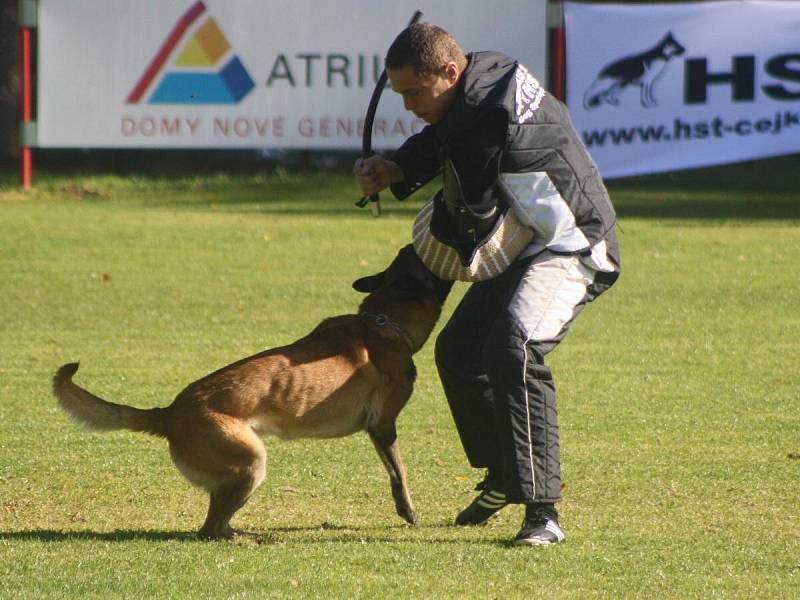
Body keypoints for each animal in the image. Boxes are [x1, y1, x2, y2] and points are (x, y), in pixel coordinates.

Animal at [53, 244, 454, 540]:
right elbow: (399, 470)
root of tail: (170, 412)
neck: (382, 325)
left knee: (215, 523)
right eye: (424, 263)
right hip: (251, 461)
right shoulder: (382, 424)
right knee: (210, 529)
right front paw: (408, 510)